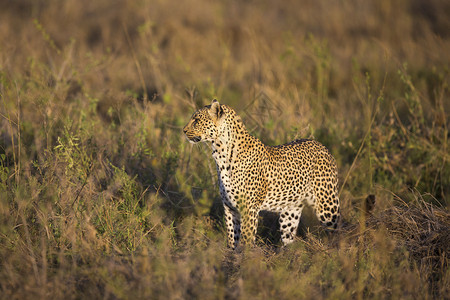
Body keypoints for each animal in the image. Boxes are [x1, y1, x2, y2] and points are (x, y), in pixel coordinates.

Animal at [183, 99, 342, 247]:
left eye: (196, 120)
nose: (183, 131)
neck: (220, 152)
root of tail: (322, 146)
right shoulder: (230, 208)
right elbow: (233, 238)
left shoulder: (249, 209)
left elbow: (246, 239)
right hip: (291, 210)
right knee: (289, 237)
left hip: (327, 204)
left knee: (337, 229)